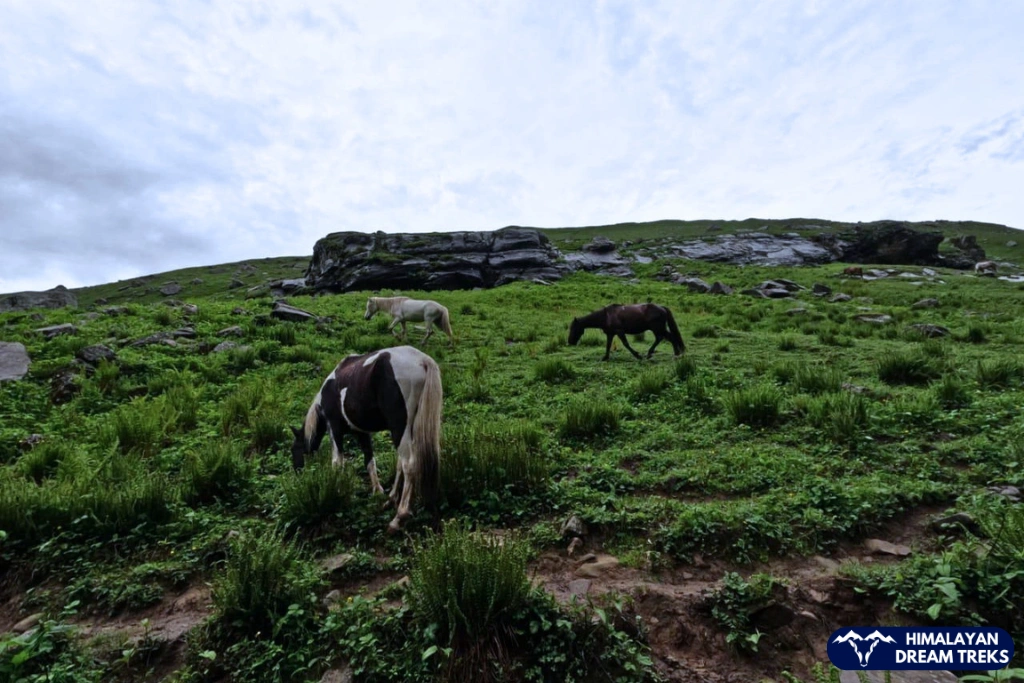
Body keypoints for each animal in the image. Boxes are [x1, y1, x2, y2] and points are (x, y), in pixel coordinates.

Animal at [289, 345, 443, 533]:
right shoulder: (361, 433)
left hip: (399, 427)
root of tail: (423, 360)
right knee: (401, 463)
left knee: (409, 465)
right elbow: (369, 461)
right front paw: (377, 491)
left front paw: (335, 490)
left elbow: (337, 462)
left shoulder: (334, 429)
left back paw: (399, 517)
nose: (298, 473)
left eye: (294, 450)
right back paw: (391, 499)